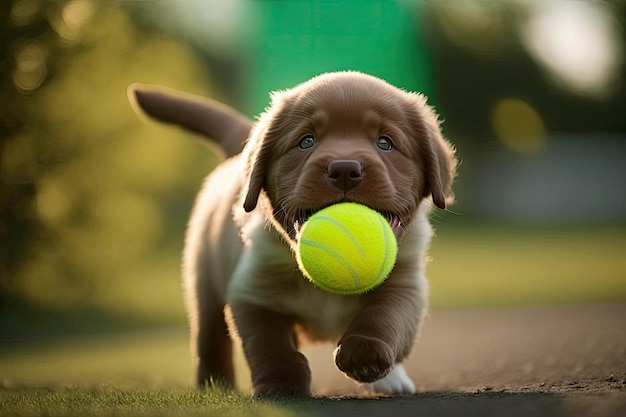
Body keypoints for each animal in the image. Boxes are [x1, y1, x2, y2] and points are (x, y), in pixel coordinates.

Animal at [129, 70, 456, 396]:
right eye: (306, 141)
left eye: (385, 143)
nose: (344, 170)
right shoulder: (252, 294)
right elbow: (271, 347)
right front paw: (280, 384)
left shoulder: (405, 283)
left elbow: (384, 317)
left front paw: (365, 355)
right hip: (204, 282)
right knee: (210, 340)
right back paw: (214, 385)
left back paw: (391, 379)